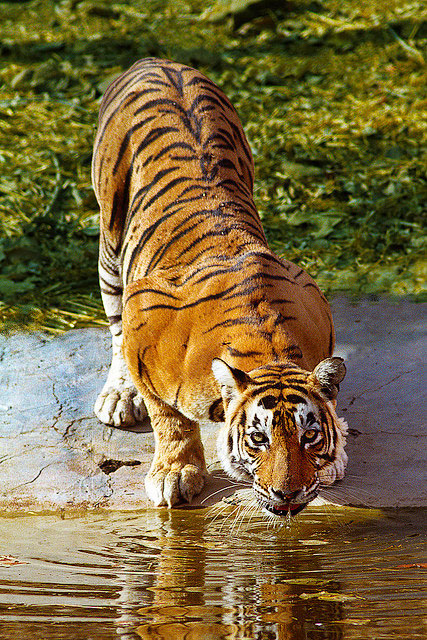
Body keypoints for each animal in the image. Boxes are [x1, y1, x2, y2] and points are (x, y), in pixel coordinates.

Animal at [92, 57, 348, 517]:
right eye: (258, 439)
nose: (288, 494)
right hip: (110, 237)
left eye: (310, 436)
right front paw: (175, 472)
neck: (270, 348)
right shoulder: (143, 309)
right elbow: (168, 417)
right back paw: (119, 397)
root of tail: (155, 61)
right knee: (115, 324)